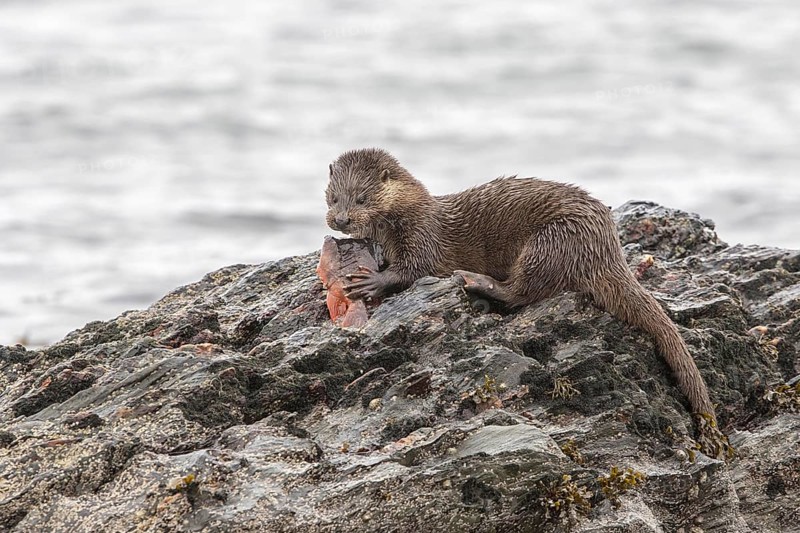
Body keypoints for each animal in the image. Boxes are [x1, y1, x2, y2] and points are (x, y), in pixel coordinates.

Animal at [325, 147, 727, 456]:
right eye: (333, 197)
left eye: (361, 198)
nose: (342, 219)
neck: (398, 221)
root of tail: (606, 248)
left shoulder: (424, 236)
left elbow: (413, 269)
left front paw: (371, 280)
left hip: (550, 242)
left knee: (524, 291)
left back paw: (478, 282)